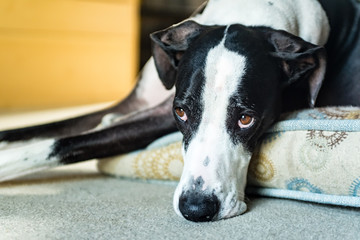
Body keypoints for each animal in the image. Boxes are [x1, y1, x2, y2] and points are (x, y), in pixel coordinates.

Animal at [0, 0, 360, 222]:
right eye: (182, 113)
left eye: (246, 119)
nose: (196, 209)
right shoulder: (141, 105)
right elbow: (44, 131)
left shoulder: (154, 119)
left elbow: (67, 143)